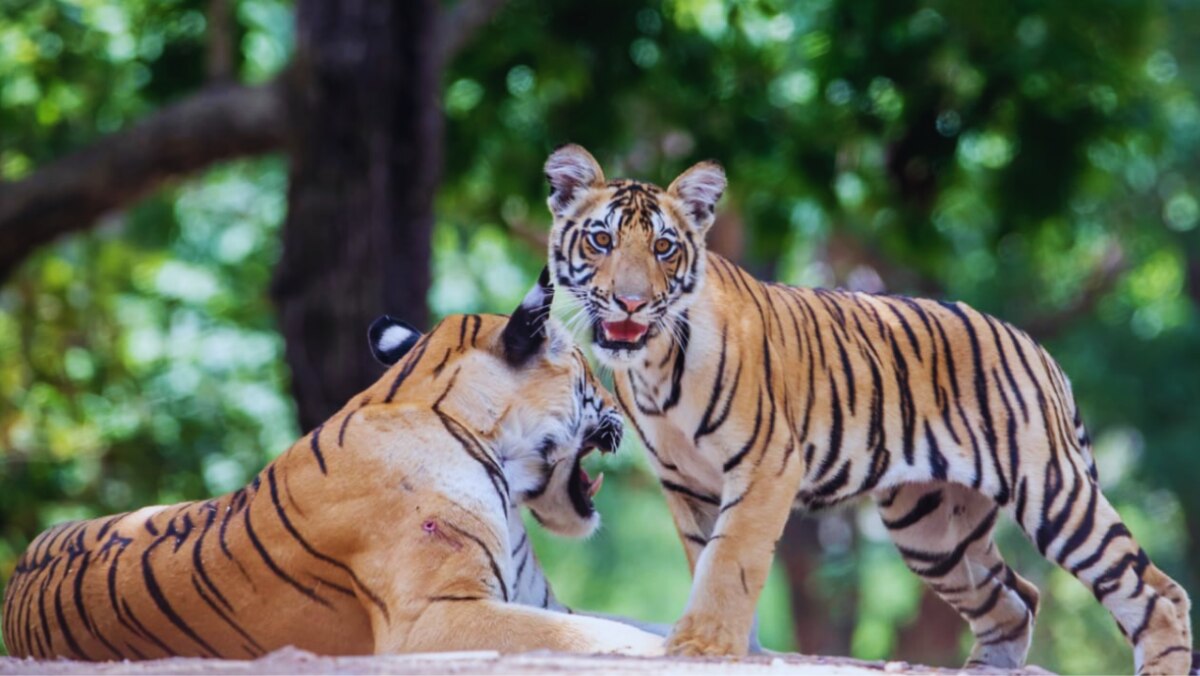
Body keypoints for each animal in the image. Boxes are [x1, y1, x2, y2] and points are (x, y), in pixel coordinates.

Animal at [0, 273, 662, 662]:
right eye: (588, 369)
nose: (622, 408)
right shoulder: (435, 617)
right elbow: (607, 636)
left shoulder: (541, 602)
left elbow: (634, 620)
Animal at [549, 144, 1195, 676]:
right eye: (601, 241)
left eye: (664, 248)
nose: (631, 302)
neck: (653, 366)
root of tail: (1037, 348)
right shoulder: (687, 483)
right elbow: (706, 558)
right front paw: (737, 649)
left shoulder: (765, 465)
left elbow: (730, 559)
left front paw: (704, 645)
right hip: (935, 530)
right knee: (1015, 599)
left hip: (1049, 489)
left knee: (1155, 591)